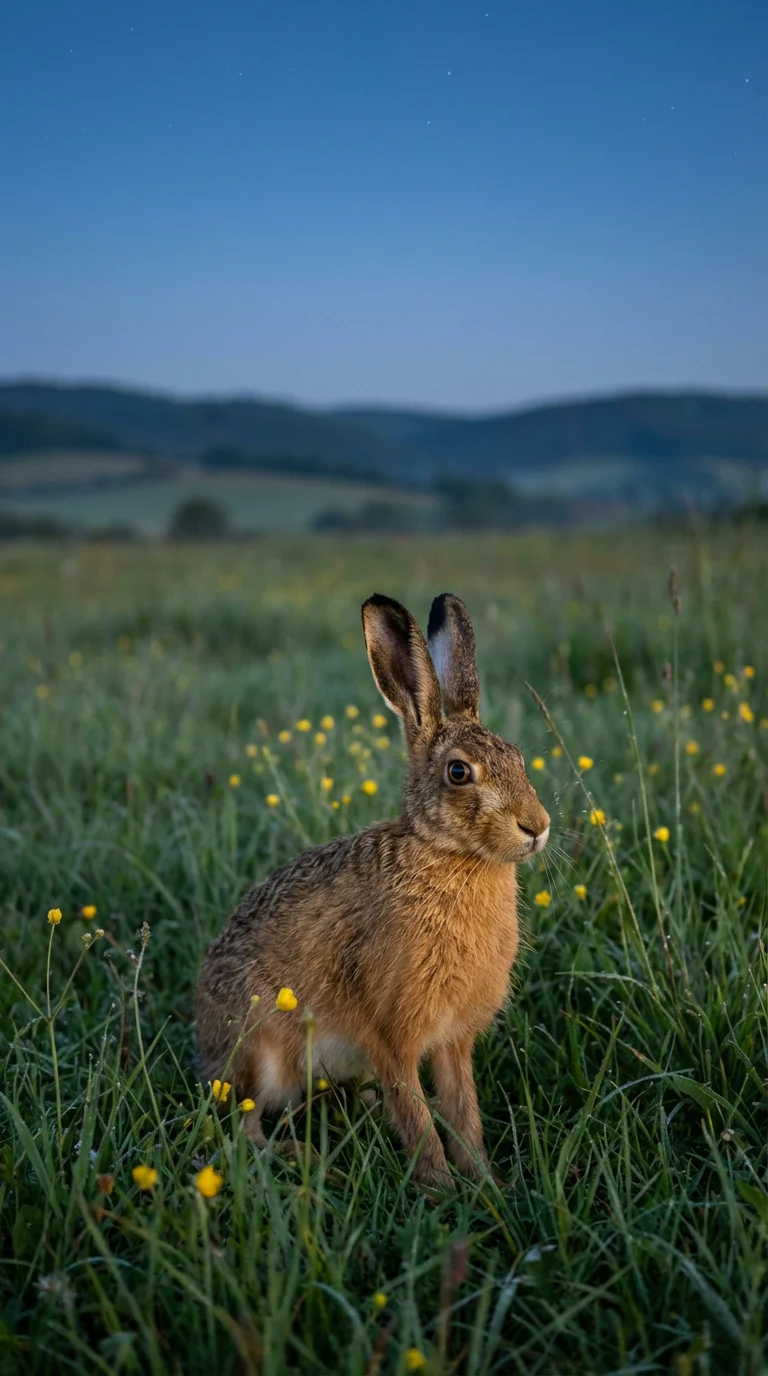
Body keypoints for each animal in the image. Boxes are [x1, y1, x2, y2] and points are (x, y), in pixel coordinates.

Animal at [195, 592, 550, 1188]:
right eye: (459, 772)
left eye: (519, 757)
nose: (537, 827)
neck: (450, 856)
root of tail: (205, 1046)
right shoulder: (391, 1036)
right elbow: (418, 1115)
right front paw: (441, 1188)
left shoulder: (452, 1040)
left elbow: (463, 1110)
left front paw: (485, 1182)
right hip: (261, 1052)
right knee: (244, 1126)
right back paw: (306, 1156)